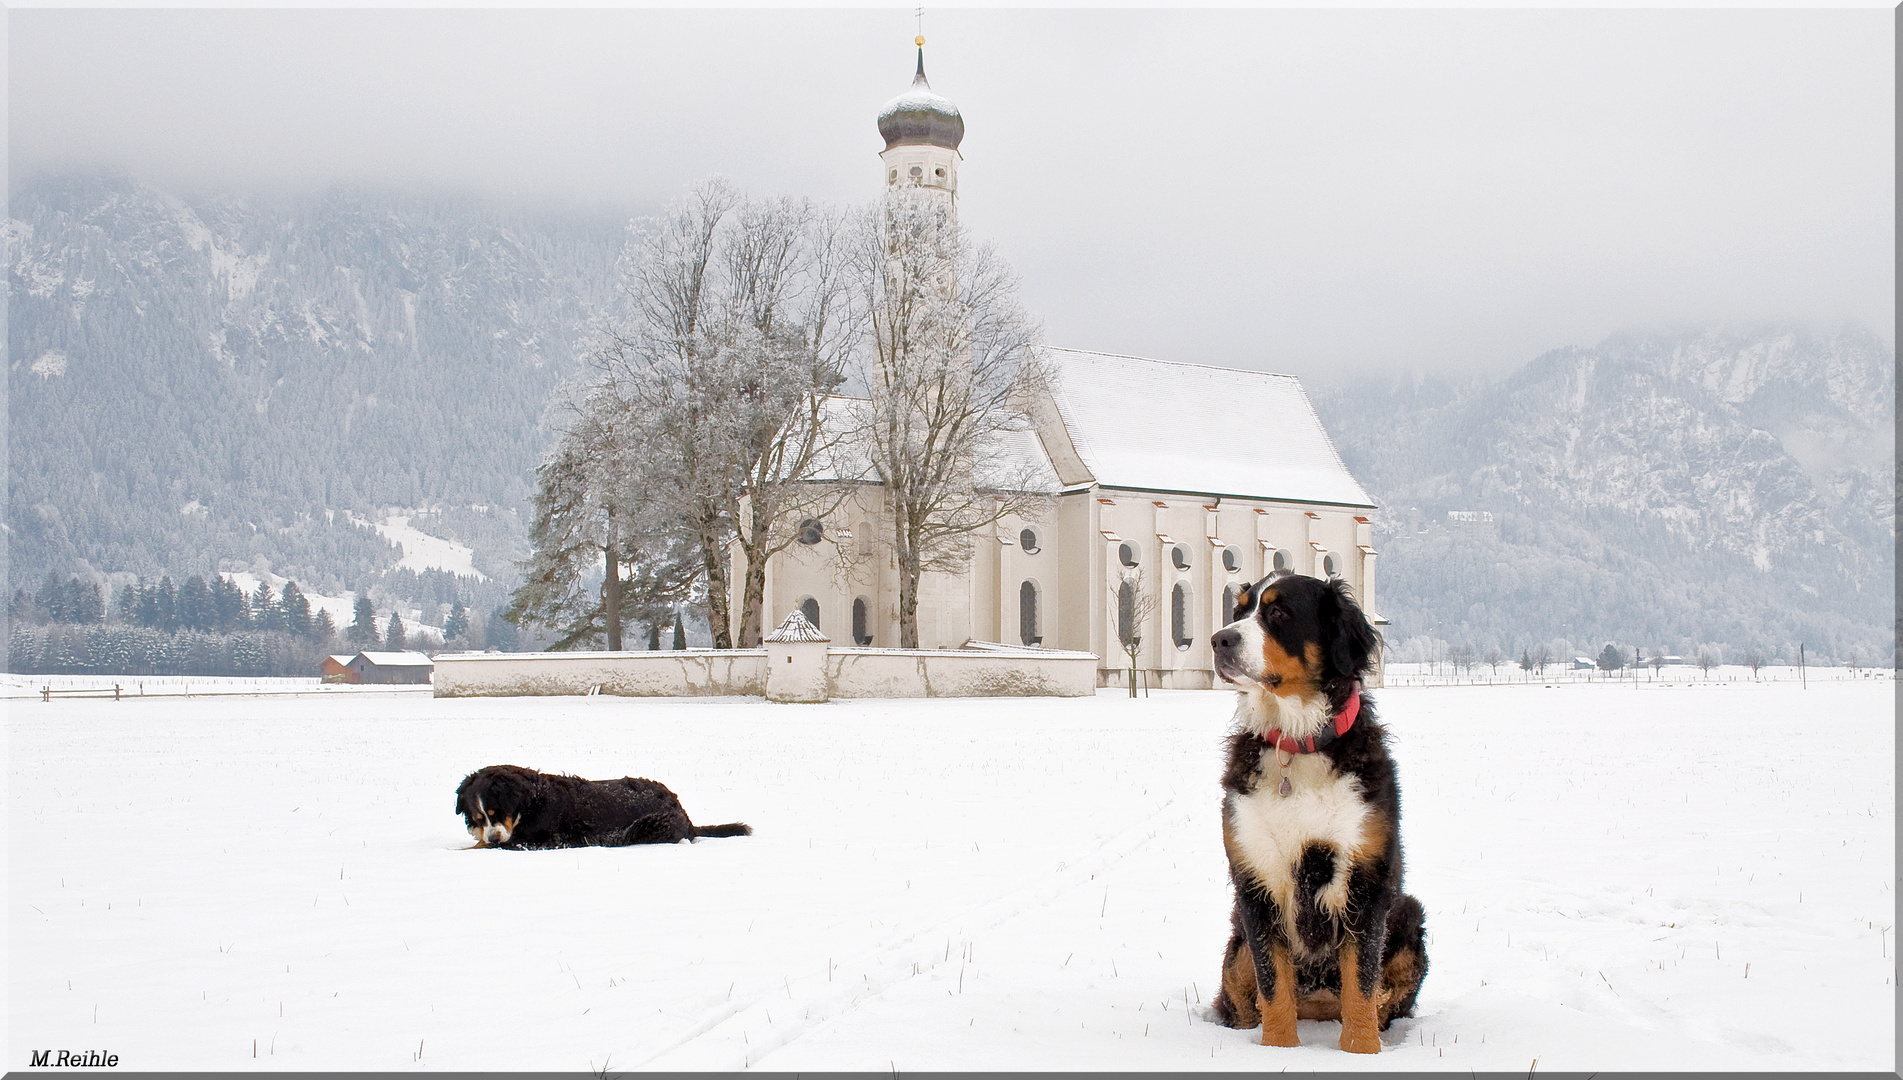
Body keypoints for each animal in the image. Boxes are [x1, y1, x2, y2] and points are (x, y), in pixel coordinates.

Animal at [458, 764, 749, 848]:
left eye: (498, 812)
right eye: (479, 817)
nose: (495, 837)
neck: (530, 803)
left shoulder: (536, 839)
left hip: (646, 827)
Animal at [1210, 574, 1423, 1057]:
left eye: (1279, 612)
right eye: (1239, 610)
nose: (1219, 640)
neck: (1298, 744)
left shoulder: (1365, 878)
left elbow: (1361, 982)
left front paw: (1362, 1054)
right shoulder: (1256, 880)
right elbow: (1274, 985)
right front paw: (1279, 1051)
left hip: (1407, 914)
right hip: (1236, 949)